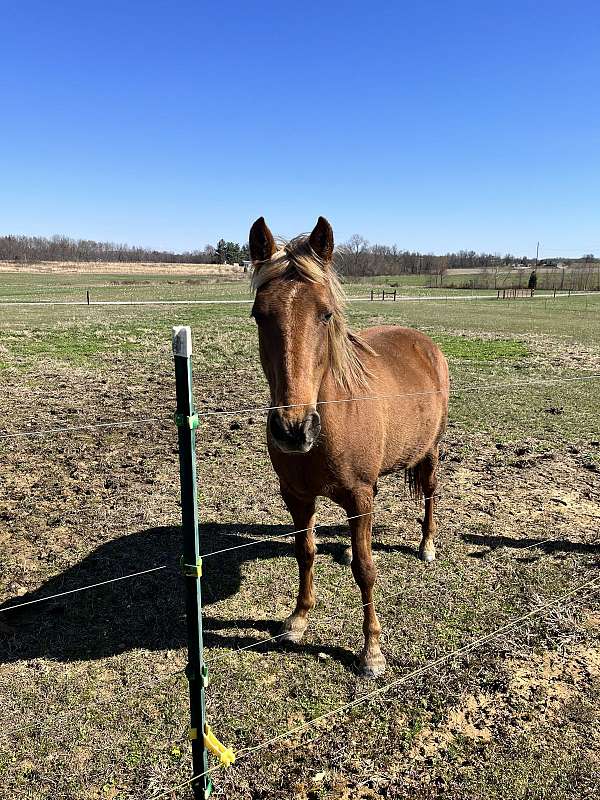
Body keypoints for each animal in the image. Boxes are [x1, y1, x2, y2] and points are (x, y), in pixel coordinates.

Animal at [246, 216, 448, 680]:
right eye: (259, 314)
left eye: (325, 314)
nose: (293, 430)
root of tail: (423, 342)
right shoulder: (296, 497)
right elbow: (304, 552)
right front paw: (298, 619)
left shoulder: (358, 496)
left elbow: (366, 570)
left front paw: (371, 651)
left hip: (430, 453)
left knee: (430, 495)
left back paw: (427, 545)